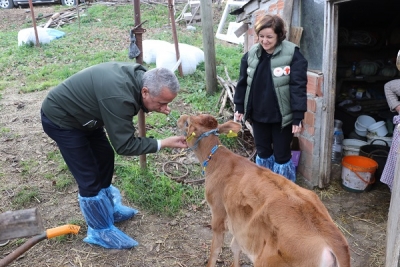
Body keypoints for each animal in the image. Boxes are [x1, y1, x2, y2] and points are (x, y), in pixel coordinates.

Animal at [177, 114, 348, 267]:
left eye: (187, 123)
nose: (180, 117)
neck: (217, 160)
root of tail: (334, 243)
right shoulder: (241, 224)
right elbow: (235, 246)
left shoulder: (218, 212)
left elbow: (215, 250)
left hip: (269, 261)